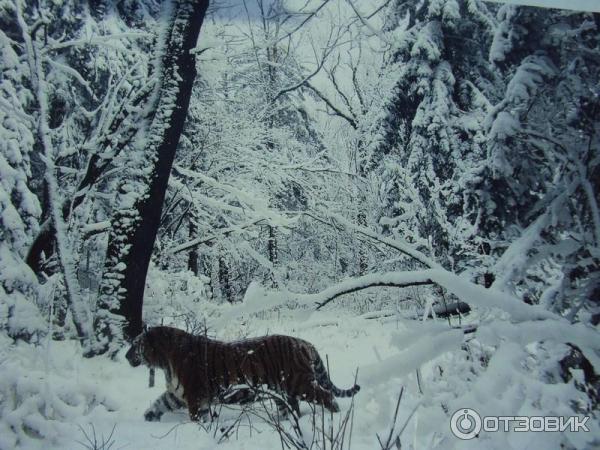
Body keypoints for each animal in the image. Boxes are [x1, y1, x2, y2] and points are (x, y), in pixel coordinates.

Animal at [125, 326, 360, 420]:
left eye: (136, 344)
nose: (126, 356)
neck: (164, 362)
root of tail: (303, 342)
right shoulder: (176, 394)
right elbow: (158, 404)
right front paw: (148, 418)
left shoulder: (195, 397)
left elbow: (198, 418)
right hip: (283, 393)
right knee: (291, 409)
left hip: (299, 384)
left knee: (327, 396)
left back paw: (335, 417)